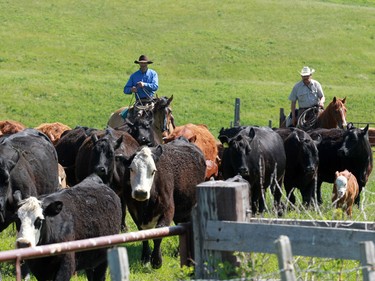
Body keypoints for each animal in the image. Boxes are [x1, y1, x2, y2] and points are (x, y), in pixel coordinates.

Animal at [120, 137, 206, 268]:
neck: (145, 206)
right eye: (131, 169)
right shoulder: (133, 210)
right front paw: (145, 258)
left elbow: (159, 233)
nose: (140, 192)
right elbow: (143, 233)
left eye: (153, 171)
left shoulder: (168, 209)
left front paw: (156, 261)